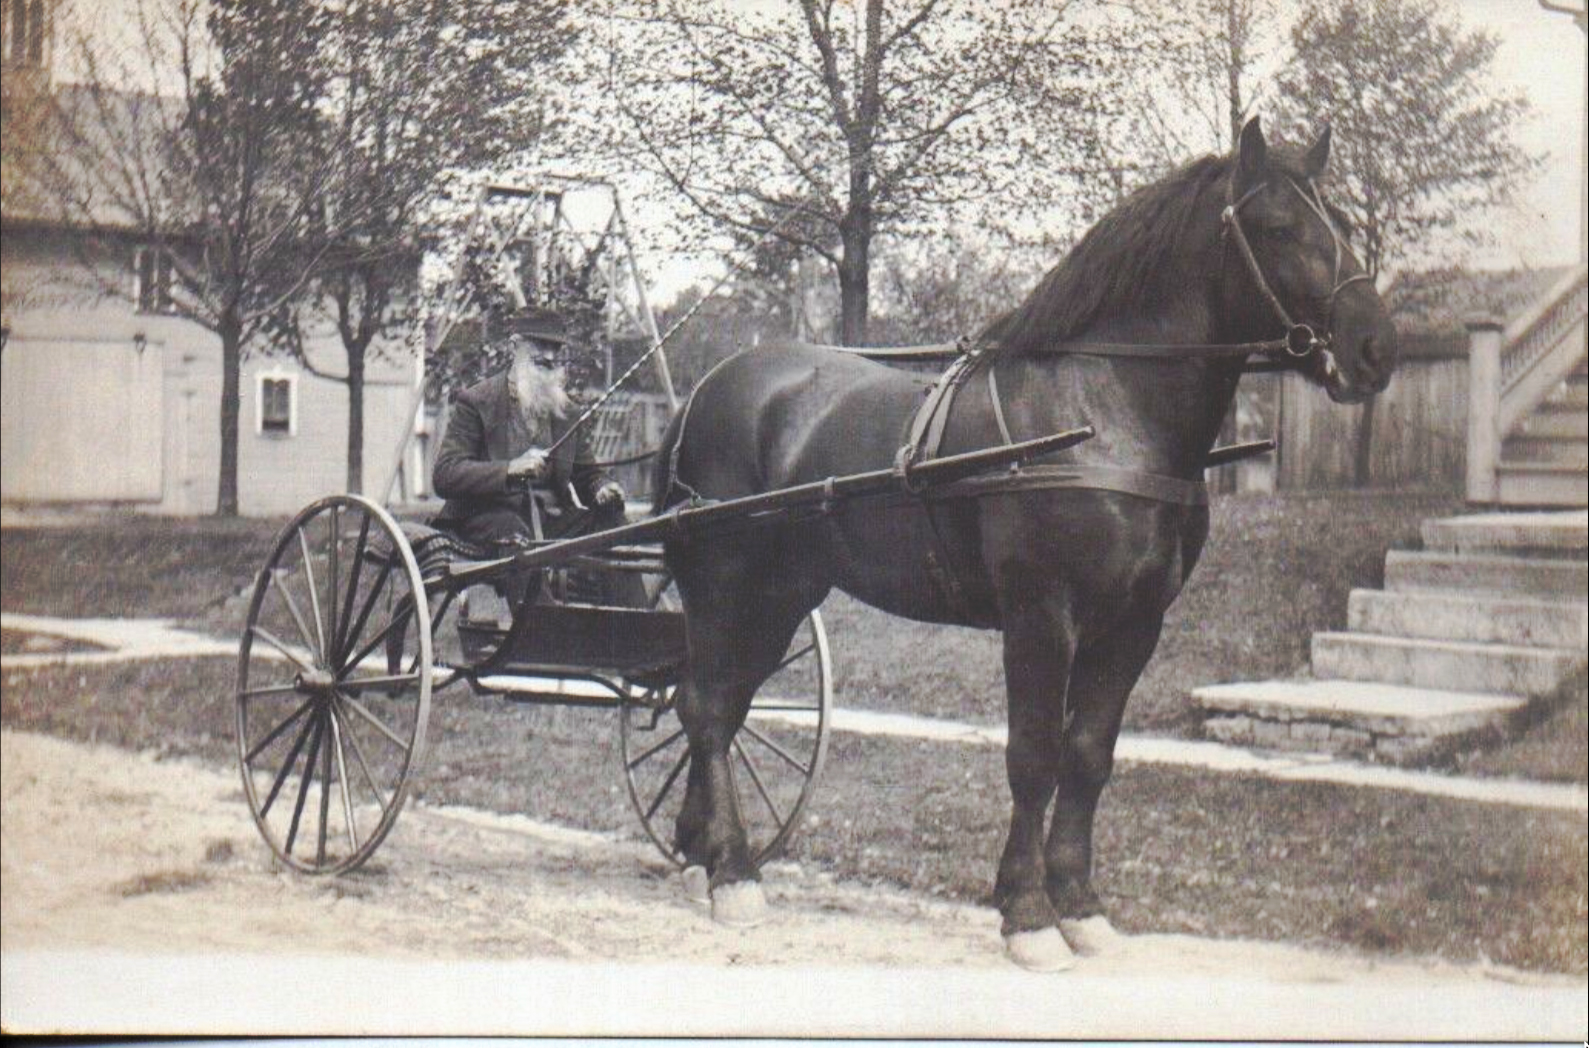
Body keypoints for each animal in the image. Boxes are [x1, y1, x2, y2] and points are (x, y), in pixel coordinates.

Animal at [651, 119, 1398, 971]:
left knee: (719, 704)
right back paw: (733, 873)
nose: (1375, 348)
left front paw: (1079, 905)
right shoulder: (1041, 616)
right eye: (1277, 228)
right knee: (707, 707)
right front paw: (1028, 914)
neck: (1100, 412)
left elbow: (1088, 757)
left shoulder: (1134, 625)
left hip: (781, 596)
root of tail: (707, 388)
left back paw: (701, 850)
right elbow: (1033, 757)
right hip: (725, 584)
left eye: (1340, 223)